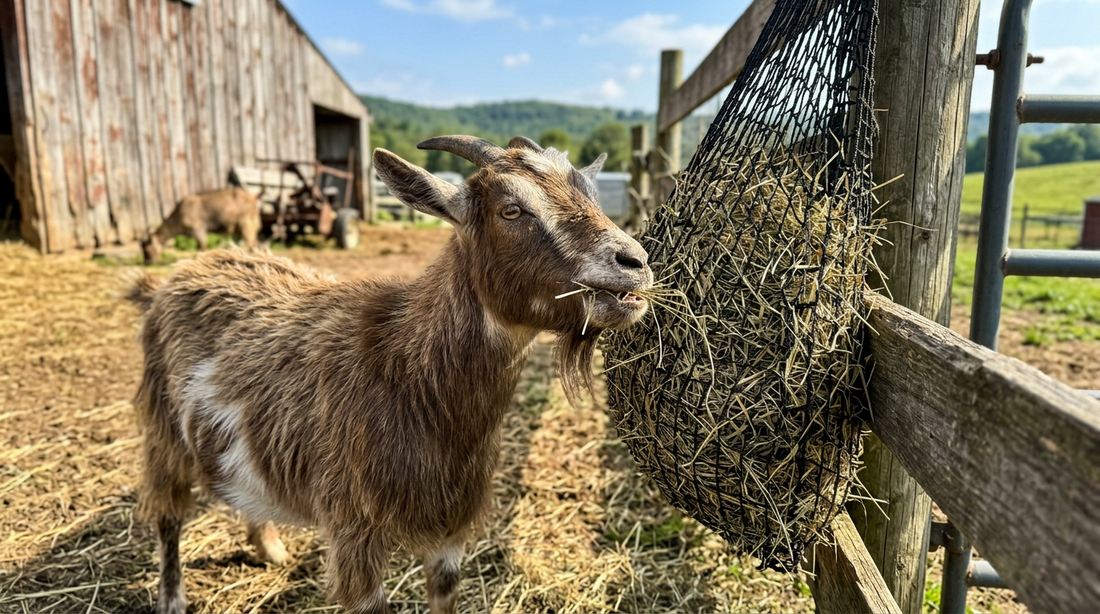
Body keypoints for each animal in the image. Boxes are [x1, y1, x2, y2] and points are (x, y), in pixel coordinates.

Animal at [127, 135, 653, 614]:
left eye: (592, 193)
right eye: (511, 209)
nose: (636, 262)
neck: (407, 376)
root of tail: (171, 278)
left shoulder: (450, 528)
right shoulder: (354, 531)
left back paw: (270, 547)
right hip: (163, 429)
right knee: (168, 514)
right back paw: (172, 598)